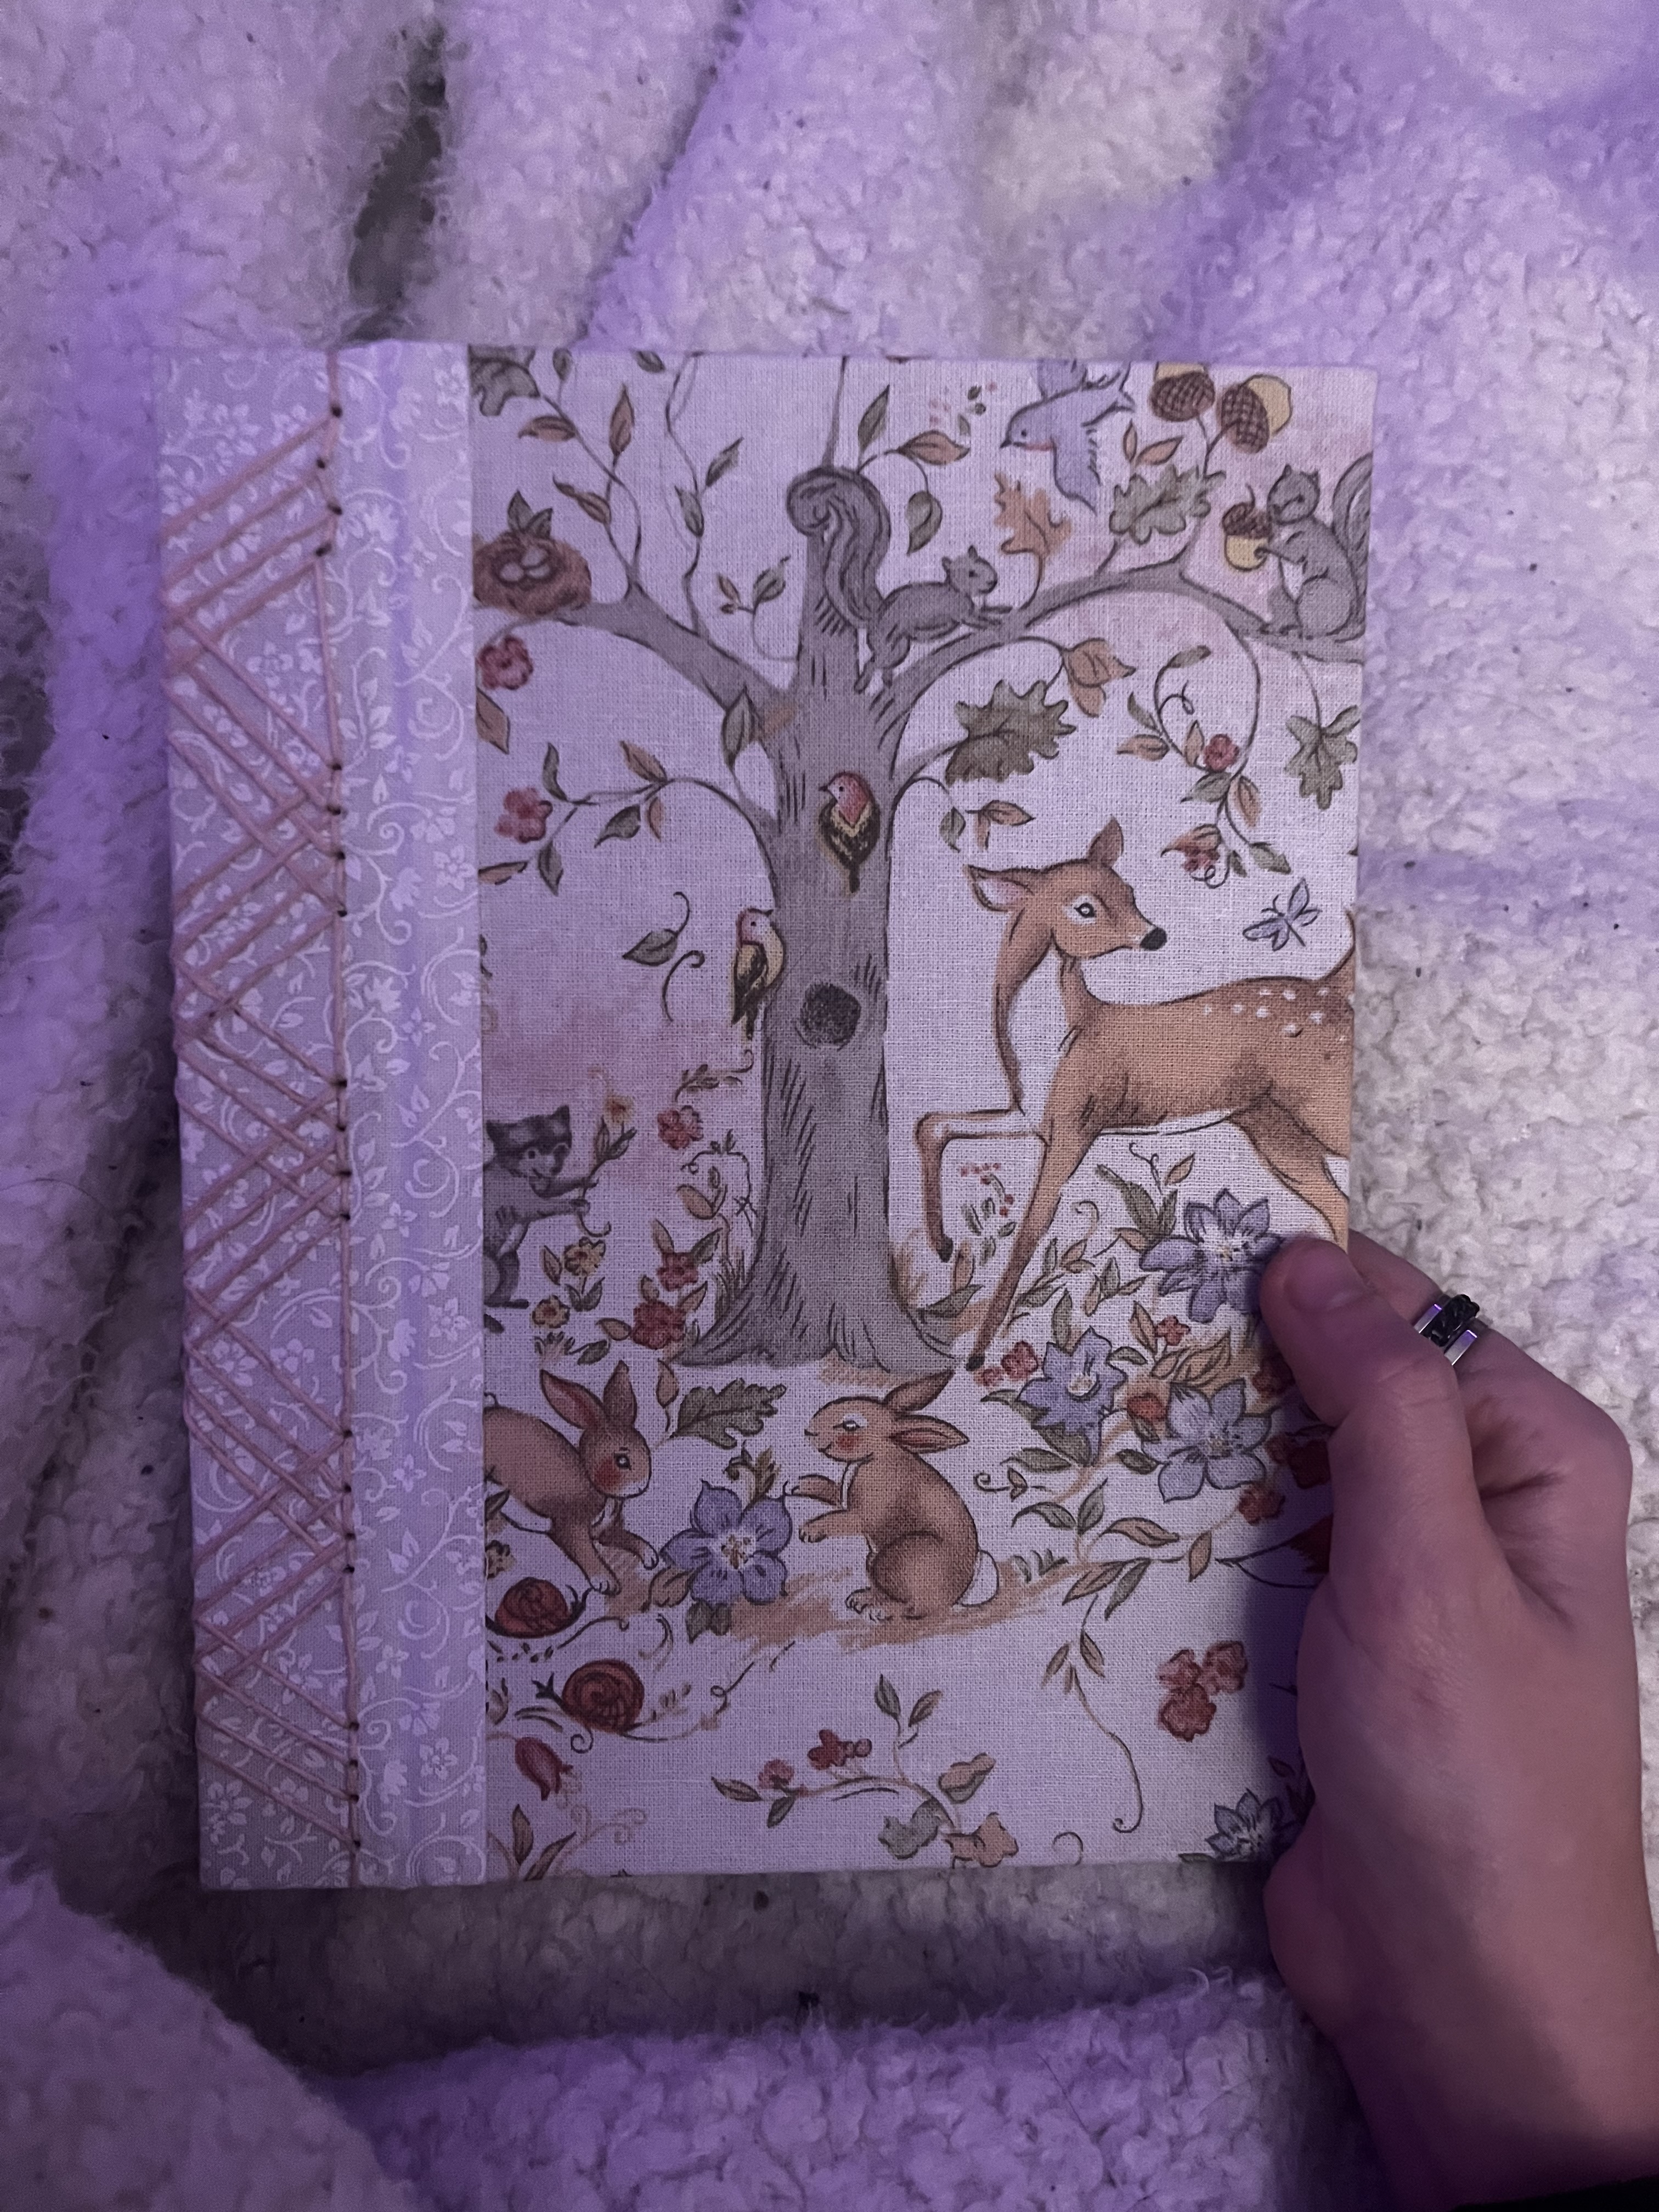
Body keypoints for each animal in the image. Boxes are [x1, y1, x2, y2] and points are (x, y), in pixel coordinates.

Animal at [483, 1361, 655, 1596]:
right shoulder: (569, 1526)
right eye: (622, 1460)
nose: (642, 1485)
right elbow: (585, 1552)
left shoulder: (606, 1531)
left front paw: (650, 1555)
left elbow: (626, 1537)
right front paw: (606, 1581)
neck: (592, 1482)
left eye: (646, 1450)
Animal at [786, 466, 999, 690]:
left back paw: (887, 681)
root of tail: (874, 620)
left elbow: (982, 611)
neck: (957, 591)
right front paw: (991, 623)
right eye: (971, 573)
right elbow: (974, 620)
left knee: (883, 663)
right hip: (893, 645)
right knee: (874, 661)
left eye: (985, 563)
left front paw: (1000, 610)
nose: (993, 581)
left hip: (898, 646)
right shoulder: (958, 611)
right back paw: (862, 684)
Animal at [797, 1372, 995, 1622]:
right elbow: (829, 1489)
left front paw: (810, 1530)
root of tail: (959, 1595)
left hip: (897, 1559)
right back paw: (863, 1599)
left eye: (850, 1425)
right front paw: (798, 1484)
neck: (877, 1453)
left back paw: (880, 1611)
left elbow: (839, 1519)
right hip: (874, 1561)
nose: (809, 1431)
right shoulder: (842, 1496)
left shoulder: (865, 1514)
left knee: (914, 1608)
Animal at [914, 821, 1353, 1369]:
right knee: (1335, 1204)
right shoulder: (1034, 1117)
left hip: (1321, 1099)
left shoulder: (1079, 1120)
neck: (1059, 1042)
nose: (1155, 935)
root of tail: (1333, 989)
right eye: (1084, 907)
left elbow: (1030, 1232)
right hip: (1272, 1127)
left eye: (1129, 892)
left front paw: (976, 1355)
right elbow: (932, 1123)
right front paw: (942, 1244)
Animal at [1263, 456, 1372, 641]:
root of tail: (1350, 624)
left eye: (1300, 499)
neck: (1287, 527)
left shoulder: (1306, 541)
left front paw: (1264, 546)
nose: (1276, 508)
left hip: (1315, 592)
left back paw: (1303, 632)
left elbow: (1291, 553)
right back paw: (1279, 627)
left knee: (1317, 630)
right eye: (1277, 486)